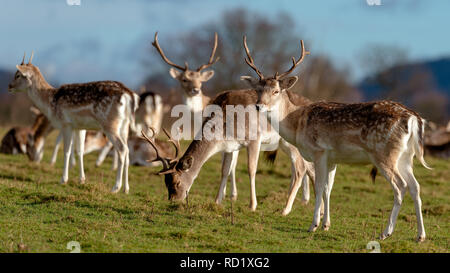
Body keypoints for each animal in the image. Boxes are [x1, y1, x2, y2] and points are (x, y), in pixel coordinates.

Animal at [8, 52, 139, 193]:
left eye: (18, 75)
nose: (9, 86)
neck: (50, 103)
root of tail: (130, 95)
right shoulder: (80, 127)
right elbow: (79, 151)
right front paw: (82, 180)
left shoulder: (66, 123)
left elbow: (66, 150)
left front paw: (63, 180)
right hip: (124, 125)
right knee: (127, 150)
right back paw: (126, 189)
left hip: (110, 123)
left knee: (122, 149)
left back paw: (115, 187)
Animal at [151, 32, 312, 210]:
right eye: (166, 183)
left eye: (177, 182)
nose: (174, 200)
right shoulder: (230, 146)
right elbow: (224, 170)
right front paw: (217, 201)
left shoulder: (254, 138)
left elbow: (251, 169)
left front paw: (252, 205)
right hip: (286, 144)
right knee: (308, 167)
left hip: (293, 143)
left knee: (301, 168)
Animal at [244, 34, 430, 240]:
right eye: (258, 90)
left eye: (276, 91)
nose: (259, 106)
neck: (297, 123)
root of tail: (413, 118)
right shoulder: (333, 158)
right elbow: (328, 188)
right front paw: (326, 225)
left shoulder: (319, 151)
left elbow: (318, 187)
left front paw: (313, 225)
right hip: (406, 156)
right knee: (415, 186)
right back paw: (420, 235)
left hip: (385, 154)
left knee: (401, 186)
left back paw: (386, 232)